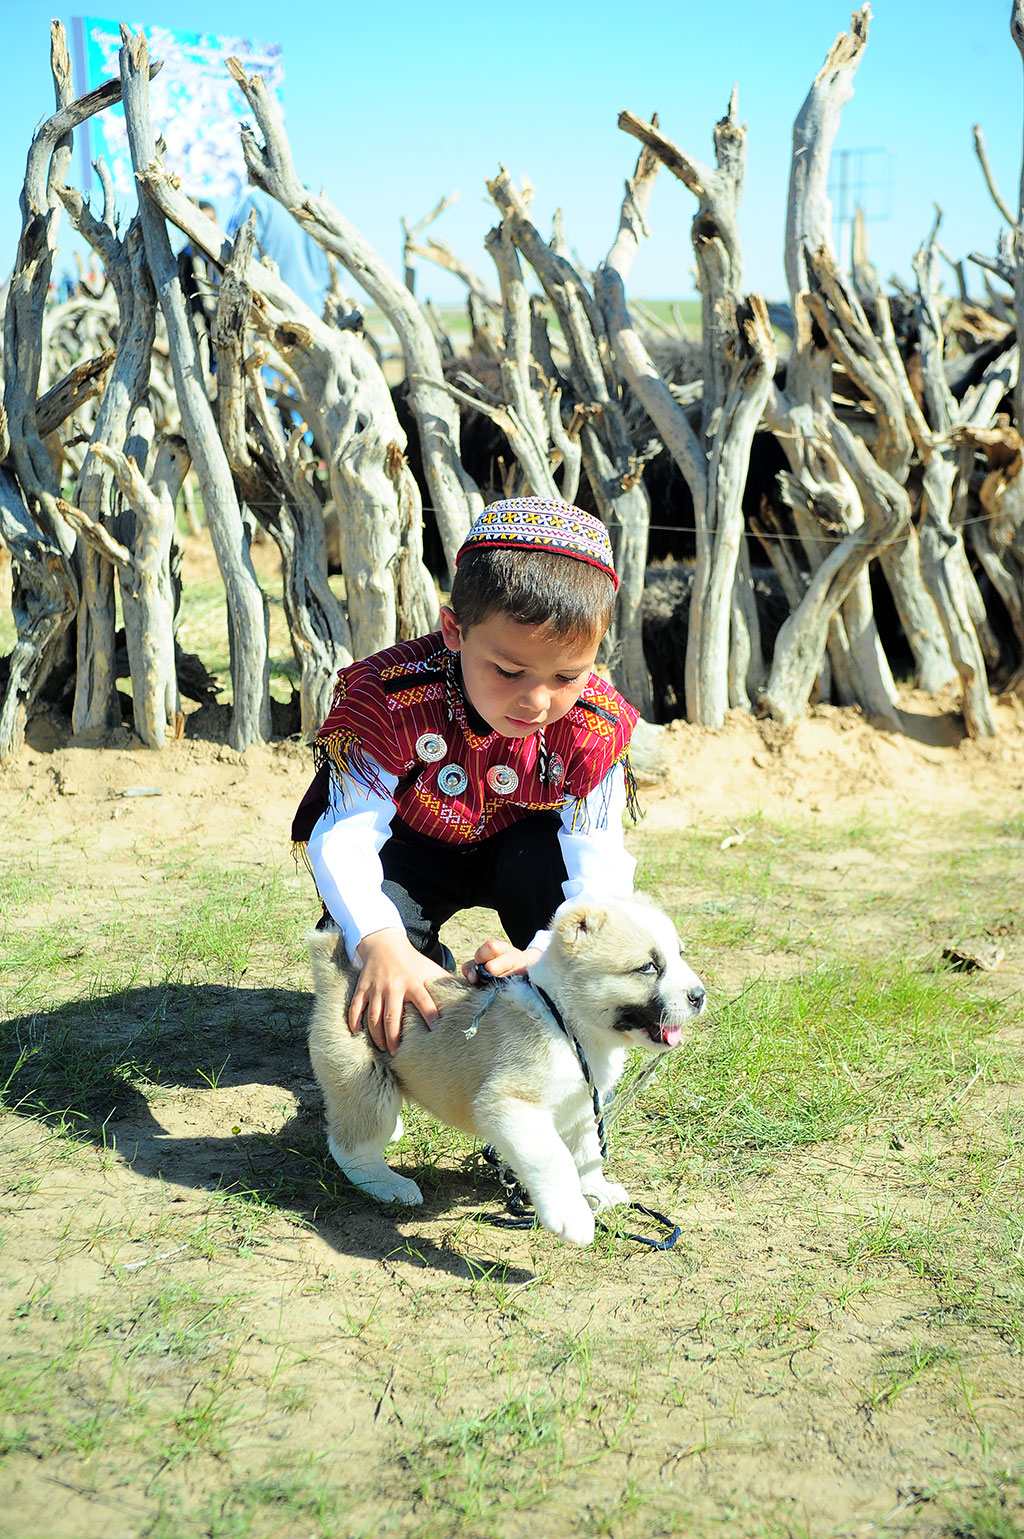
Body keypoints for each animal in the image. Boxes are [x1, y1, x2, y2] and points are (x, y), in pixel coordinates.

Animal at [304, 898, 702, 1243]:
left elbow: (587, 1153)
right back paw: (390, 1186)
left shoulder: (584, 1107)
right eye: (647, 967)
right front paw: (572, 1216)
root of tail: (343, 977)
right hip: (367, 1082)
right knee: (351, 1146)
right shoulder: (510, 1104)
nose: (699, 996)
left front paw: (597, 1191)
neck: (565, 1018)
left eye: (680, 955)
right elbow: (554, 1158)